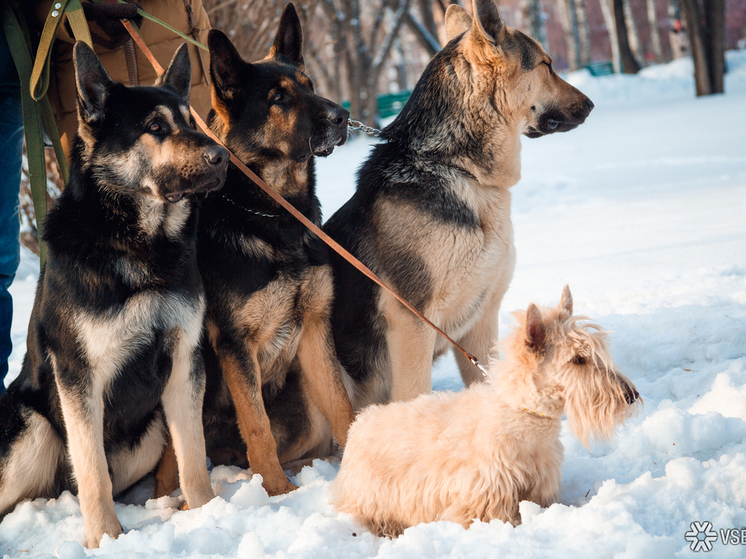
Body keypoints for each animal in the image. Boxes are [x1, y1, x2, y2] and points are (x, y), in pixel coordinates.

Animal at [0, 42, 227, 548]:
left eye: (190, 120)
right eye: (155, 128)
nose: (222, 156)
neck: (140, 244)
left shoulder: (185, 360)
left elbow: (194, 455)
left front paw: (207, 512)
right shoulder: (78, 376)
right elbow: (93, 471)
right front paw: (105, 539)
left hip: (149, 433)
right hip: (34, 429)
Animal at [153, 2, 352, 496]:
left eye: (310, 86)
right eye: (278, 98)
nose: (342, 116)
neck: (274, 216)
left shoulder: (315, 330)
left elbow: (343, 407)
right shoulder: (235, 346)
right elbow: (257, 425)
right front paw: (278, 491)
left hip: (302, 408)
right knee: (174, 465)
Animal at [324, 0, 592, 410]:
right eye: (546, 65)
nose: (591, 105)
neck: (453, 166)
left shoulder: (481, 321)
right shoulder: (412, 323)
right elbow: (414, 394)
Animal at [332, 288, 640, 540]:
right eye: (578, 359)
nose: (631, 395)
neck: (525, 413)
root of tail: (359, 423)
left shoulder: (540, 489)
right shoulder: (481, 502)